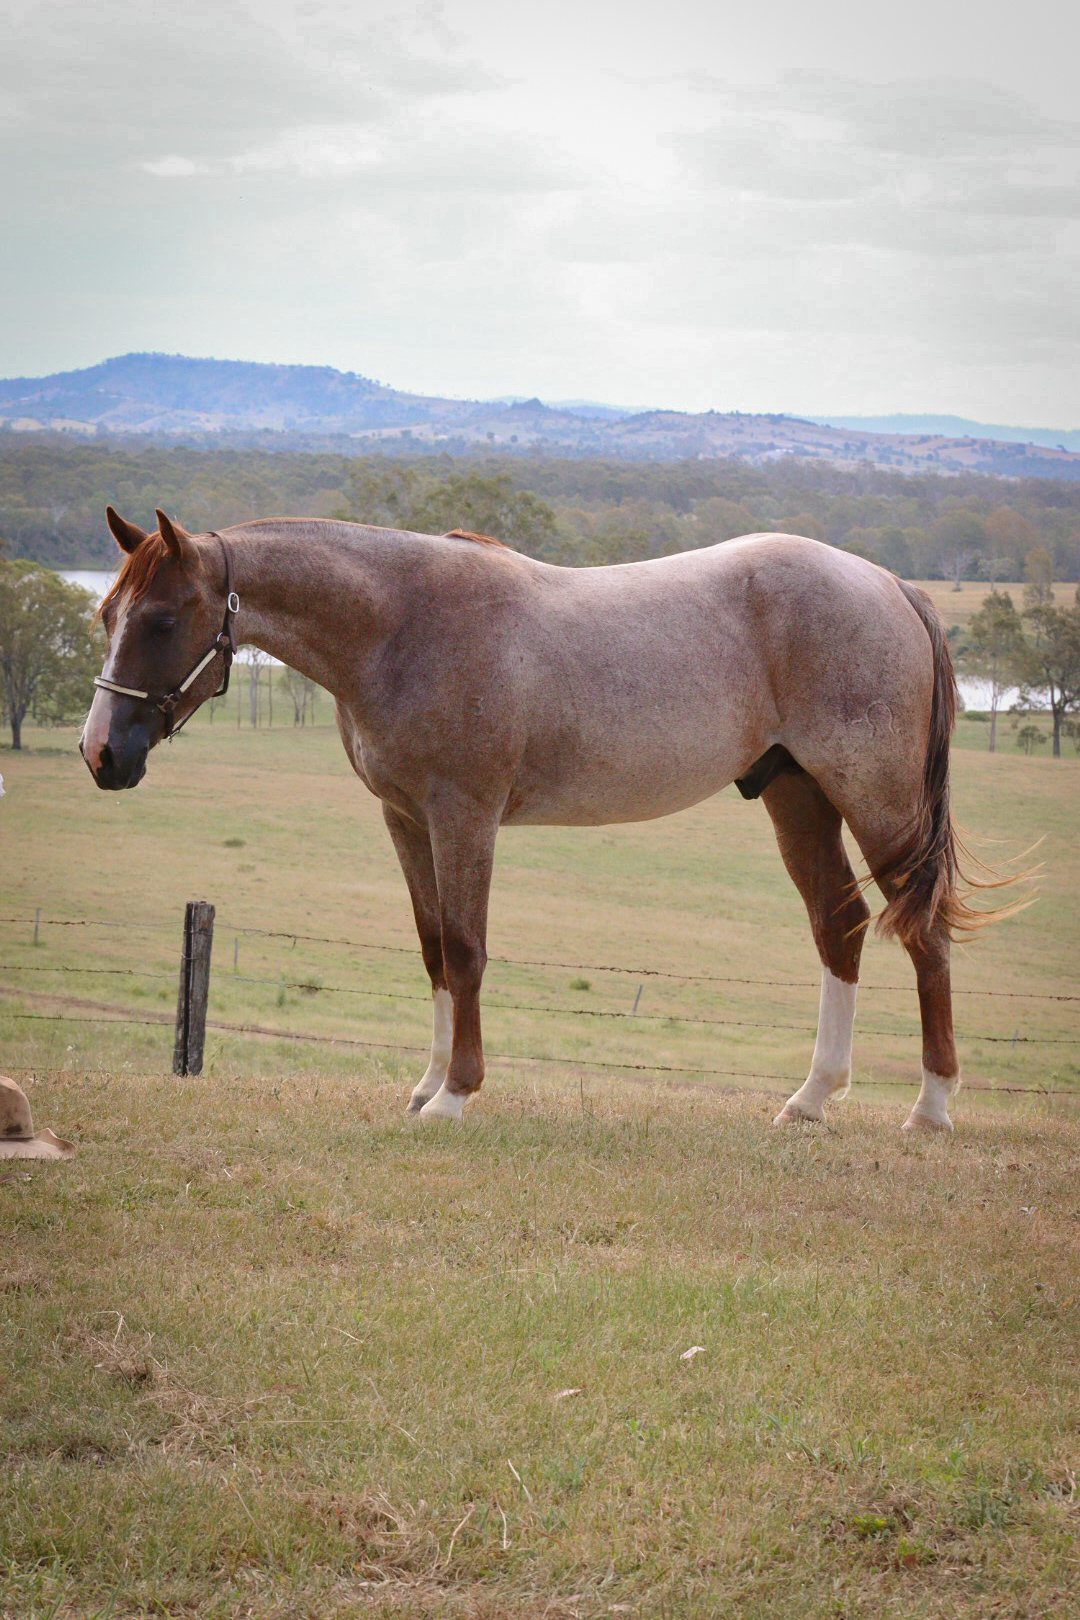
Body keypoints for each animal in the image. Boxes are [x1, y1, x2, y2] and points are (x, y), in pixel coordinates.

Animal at [81, 506, 984, 1132]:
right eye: (105, 615)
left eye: (162, 621)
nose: (101, 755)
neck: (401, 624)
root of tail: (889, 585)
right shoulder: (405, 820)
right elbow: (434, 952)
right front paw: (425, 1086)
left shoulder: (464, 817)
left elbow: (467, 951)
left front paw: (456, 1096)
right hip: (796, 794)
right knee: (839, 924)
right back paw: (810, 1101)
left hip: (876, 800)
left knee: (924, 934)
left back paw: (932, 1108)